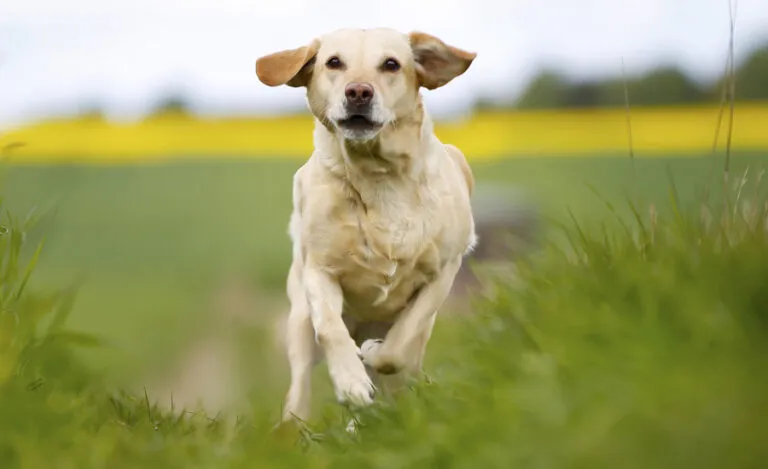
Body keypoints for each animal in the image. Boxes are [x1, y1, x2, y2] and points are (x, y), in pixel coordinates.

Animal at [255, 27, 476, 422]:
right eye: (334, 62)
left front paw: (374, 354)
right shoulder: (320, 271)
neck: (378, 175)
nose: (358, 92)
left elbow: (399, 346)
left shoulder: (444, 271)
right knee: (299, 391)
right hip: (298, 323)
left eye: (391, 64)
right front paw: (350, 381)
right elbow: (330, 329)